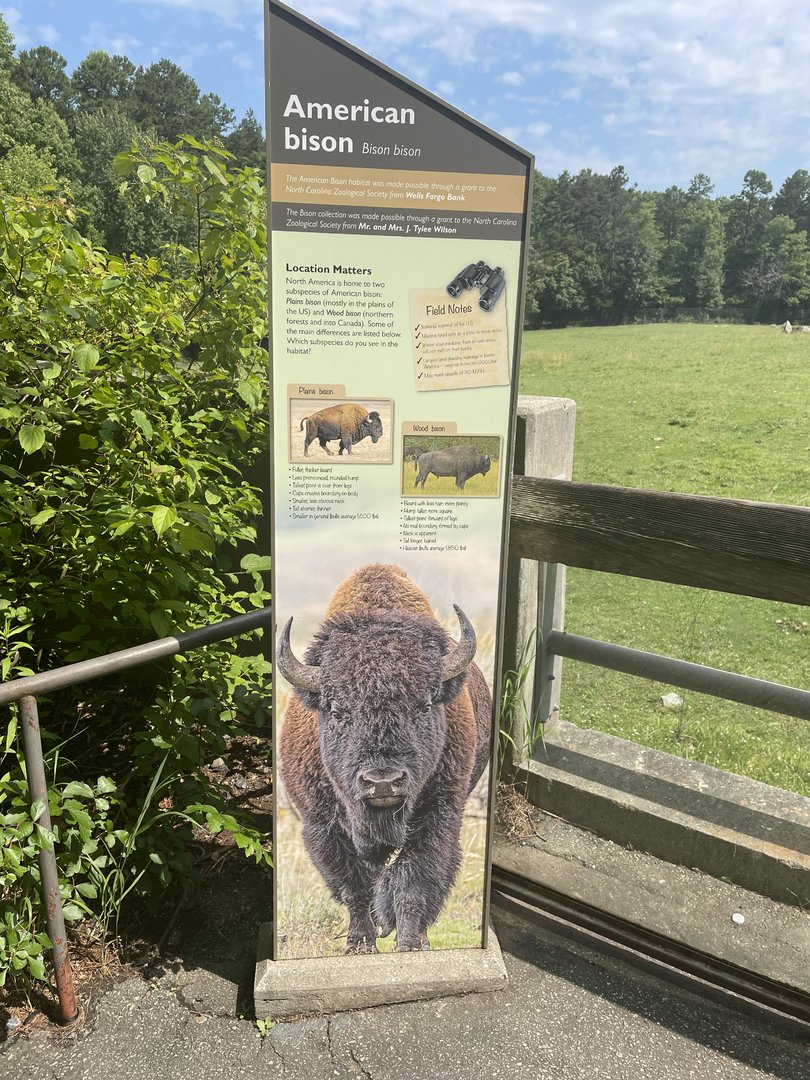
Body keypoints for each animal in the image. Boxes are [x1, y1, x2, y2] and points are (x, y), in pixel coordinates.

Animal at [277, 563, 492, 954]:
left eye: (424, 705)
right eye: (337, 710)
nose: (383, 783)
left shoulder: (438, 816)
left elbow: (413, 879)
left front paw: (409, 944)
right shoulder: (321, 825)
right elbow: (354, 885)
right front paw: (360, 943)